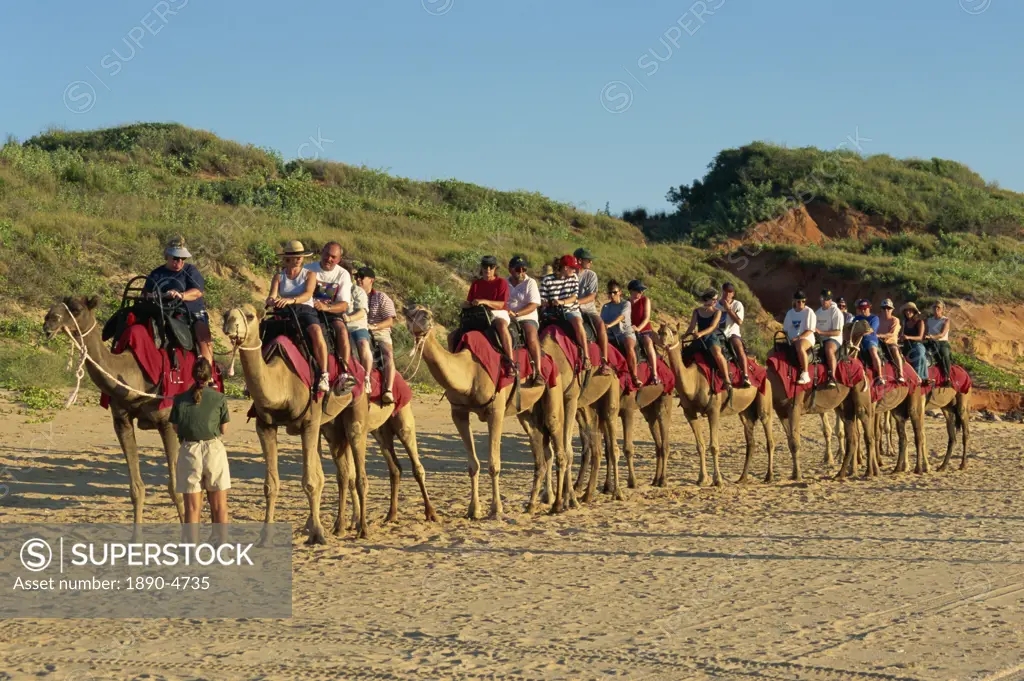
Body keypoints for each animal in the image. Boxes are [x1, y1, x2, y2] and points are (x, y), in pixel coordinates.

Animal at [42, 294, 186, 522]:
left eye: (76, 309)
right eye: (52, 307)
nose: (48, 321)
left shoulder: (166, 422)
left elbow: (175, 489)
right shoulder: (121, 421)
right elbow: (136, 489)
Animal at [224, 305, 372, 544]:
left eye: (250, 316)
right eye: (226, 314)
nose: (229, 326)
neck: (282, 381)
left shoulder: (309, 423)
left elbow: (311, 481)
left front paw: (318, 534)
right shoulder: (265, 426)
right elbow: (271, 484)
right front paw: (265, 536)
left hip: (356, 408)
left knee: (358, 469)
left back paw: (362, 529)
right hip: (331, 427)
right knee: (342, 473)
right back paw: (338, 527)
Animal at [403, 303, 569, 516]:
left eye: (428, 313)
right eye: (411, 313)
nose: (423, 320)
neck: (470, 371)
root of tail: (548, 358)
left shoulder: (495, 411)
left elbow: (494, 464)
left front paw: (496, 509)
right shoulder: (459, 413)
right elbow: (473, 465)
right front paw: (473, 510)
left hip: (553, 391)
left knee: (558, 444)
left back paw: (557, 505)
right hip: (528, 412)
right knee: (539, 453)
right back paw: (531, 505)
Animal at [655, 323, 774, 483]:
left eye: (673, 331)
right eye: (659, 331)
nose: (663, 338)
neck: (694, 380)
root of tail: (761, 367)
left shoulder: (713, 410)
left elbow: (714, 446)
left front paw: (717, 481)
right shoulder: (689, 413)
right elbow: (700, 445)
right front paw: (702, 479)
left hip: (764, 395)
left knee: (768, 433)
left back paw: (769, 476)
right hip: (745, 410)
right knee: (750, 440)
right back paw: (742, 478)